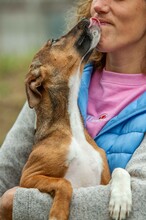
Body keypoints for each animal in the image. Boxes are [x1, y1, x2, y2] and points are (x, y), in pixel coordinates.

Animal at [19, 18, 132, 219]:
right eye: (54, 41)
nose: (87, 19)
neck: (72, 128)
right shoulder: (28, 177)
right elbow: (65, 183)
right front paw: (58, 213)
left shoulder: (102, 182)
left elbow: (121, 170)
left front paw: (121, 201)